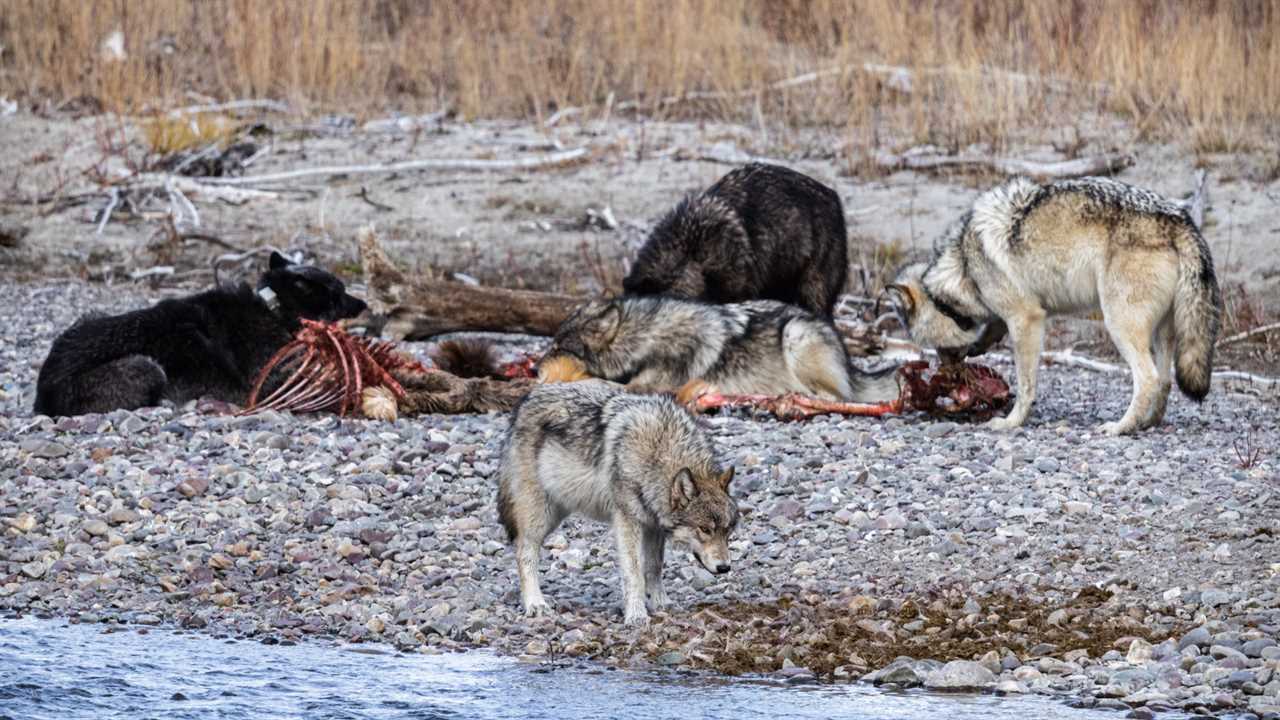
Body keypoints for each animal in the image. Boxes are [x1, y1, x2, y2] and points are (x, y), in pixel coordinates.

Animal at [35, 251, 366, 415]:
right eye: (339, 293)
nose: (364, 304)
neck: (274, 307)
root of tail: (42, 393)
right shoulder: (272, 382)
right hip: (145, 365)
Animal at [499, 381, 742, 622]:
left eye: (728, 530)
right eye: (705, 530)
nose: (725, 568)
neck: (658, 450)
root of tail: (525, 401)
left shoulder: (653, 526)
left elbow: (654, 567)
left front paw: (660, 603)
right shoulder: (628, 521)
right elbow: (633, 572)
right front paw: (636, 614)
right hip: (541, 517)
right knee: (524, 552)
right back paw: (535, 603)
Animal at [540, 294, 901, 399]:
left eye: (557, 347)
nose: (533, 368)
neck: (644, 338)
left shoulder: (645, 386)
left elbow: (595, 381)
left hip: (795, 335)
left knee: (835, 398)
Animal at [890, 175, 1218, 430]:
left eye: (937, 348)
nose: (946, 372)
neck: (963, 266)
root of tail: (1180, 217)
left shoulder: (1027, 319)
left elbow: (1025, 384)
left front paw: (1011, 422)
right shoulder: (1013, 314)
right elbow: (993, 327)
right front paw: (981, 345)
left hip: (1118, 325)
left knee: (1148, 379)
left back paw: (1121, 427)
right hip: (1163, 332)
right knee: (1164, 381)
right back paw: (1148, 423)